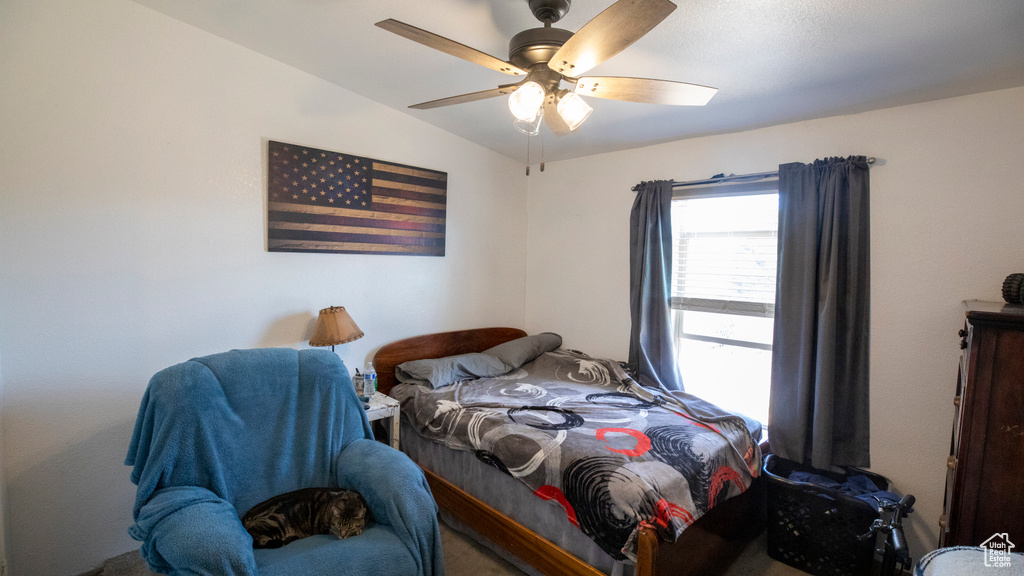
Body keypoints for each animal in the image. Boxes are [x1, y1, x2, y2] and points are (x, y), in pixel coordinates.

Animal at [241, 483, 370, 545]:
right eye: (338, 525)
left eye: (350, 526)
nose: (342, 536)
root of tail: (246, 516)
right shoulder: (324, 528)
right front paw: (358, 531)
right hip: (275, 524)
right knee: (258, 538)